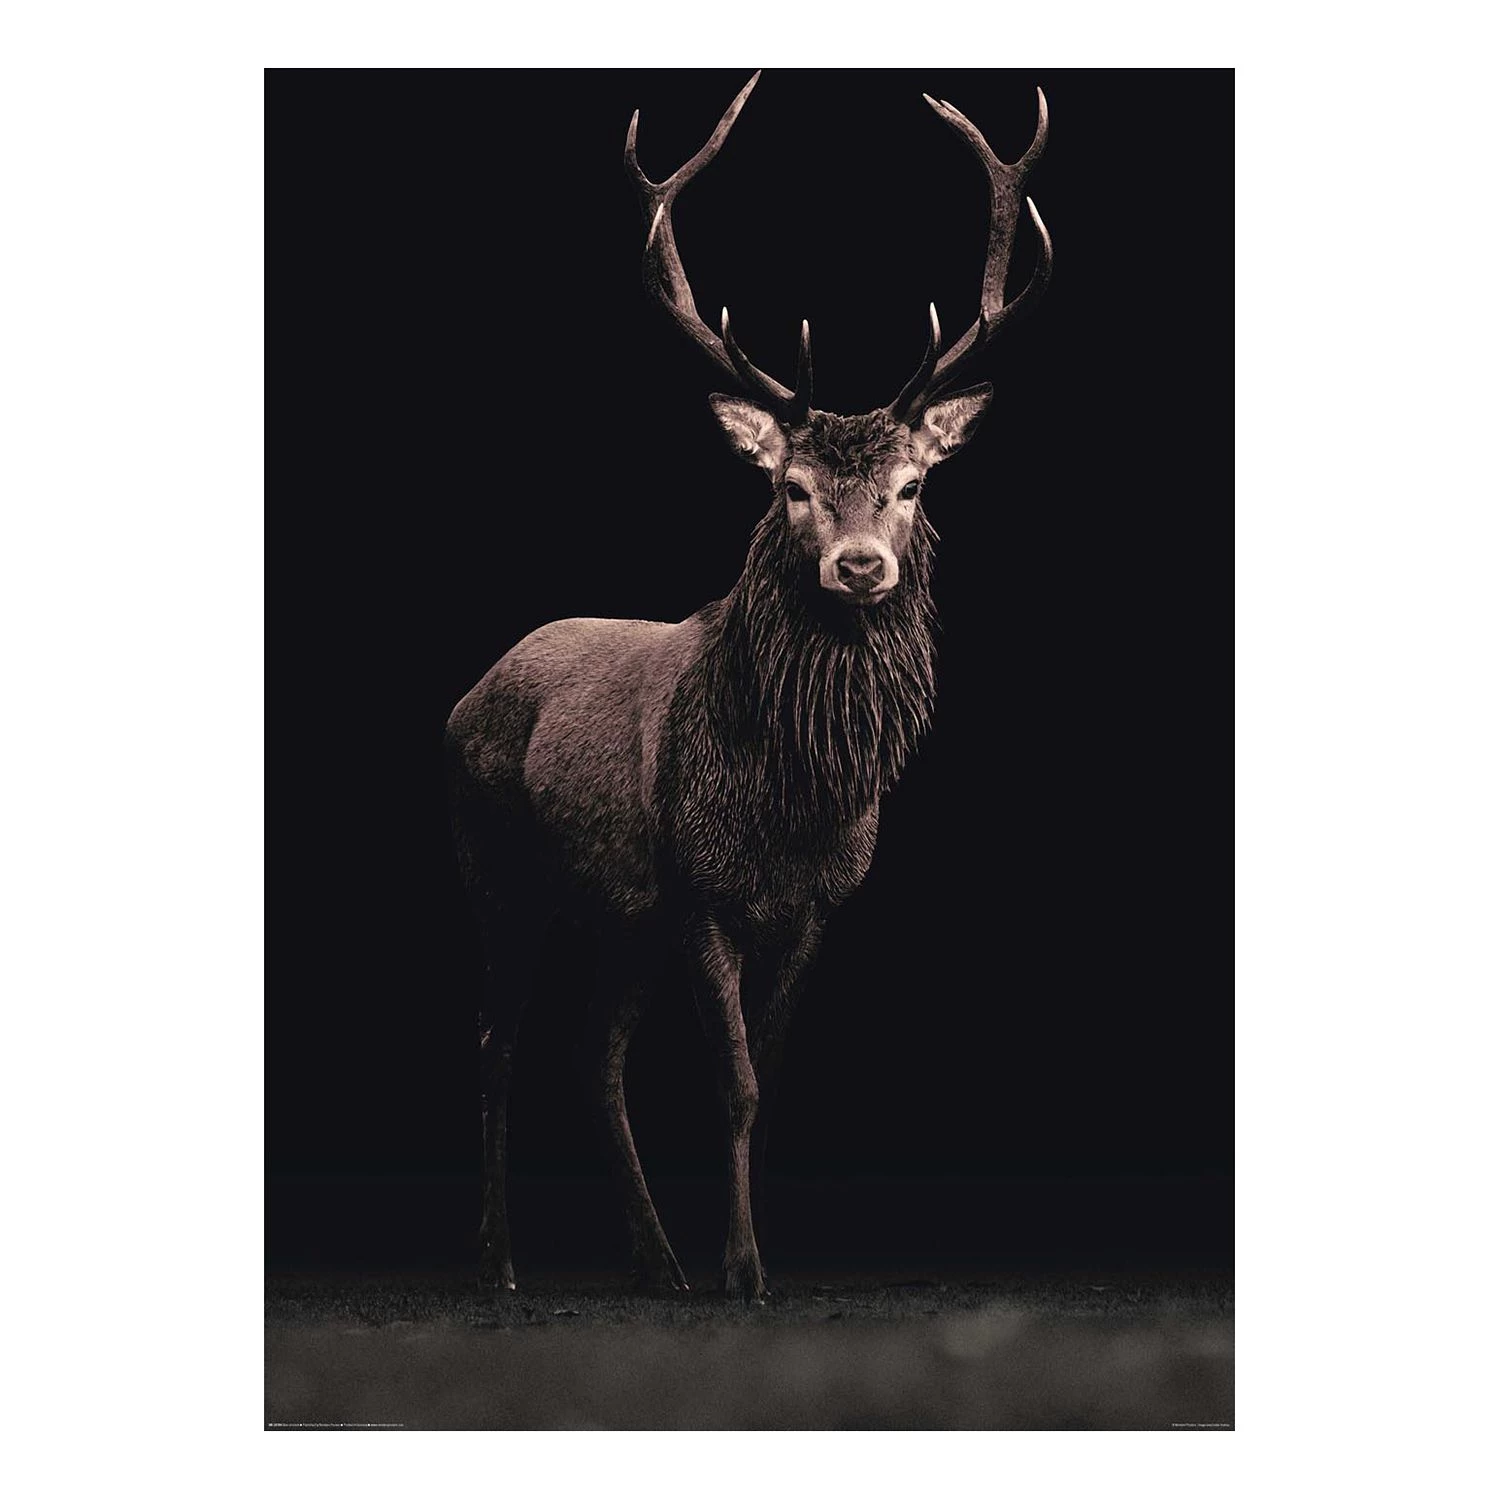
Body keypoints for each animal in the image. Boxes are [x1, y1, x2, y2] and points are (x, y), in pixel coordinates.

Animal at [445, 72, 1051, 1299]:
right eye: (793, 488)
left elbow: (765, 1088)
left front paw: (741, 1253)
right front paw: (744, 1269)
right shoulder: (702, 891)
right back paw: (503, 1261)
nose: (859, 567)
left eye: (911, 485)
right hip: (498, 863)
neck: (791, 806)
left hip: (622, 910)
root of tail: (464, 697)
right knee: (498, 1041)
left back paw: (655, 1258)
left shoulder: (813, 906)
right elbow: (732, 1080)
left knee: (594, 1049)